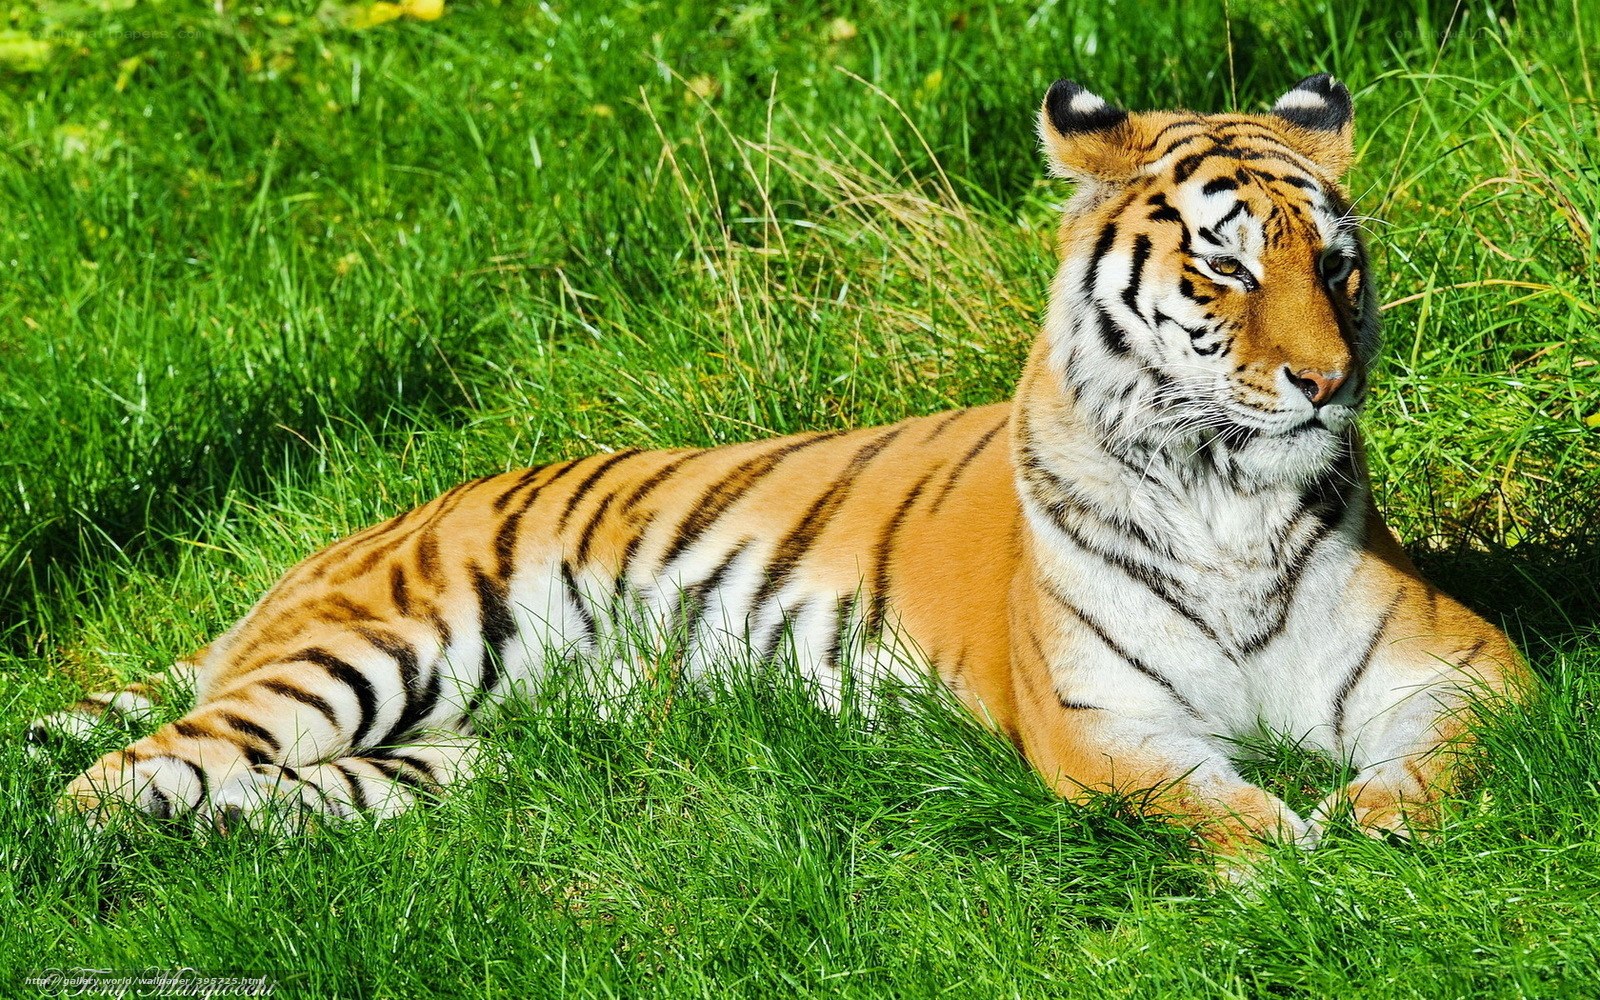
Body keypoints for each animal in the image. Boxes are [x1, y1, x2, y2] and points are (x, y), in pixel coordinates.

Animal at [29, 74, 1531, 860]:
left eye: (1336, 266)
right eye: (1225, 267)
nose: (1325, 382)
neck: (1227, 496)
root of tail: (323, 550)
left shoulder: (1461, 666)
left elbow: (1440, 759)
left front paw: (1373, 822)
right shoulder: (1100, 723)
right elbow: (1213, 809)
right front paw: (1288, 856)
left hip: (439, 757)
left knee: (267, 791)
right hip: (369, 648)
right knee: (103, 783)